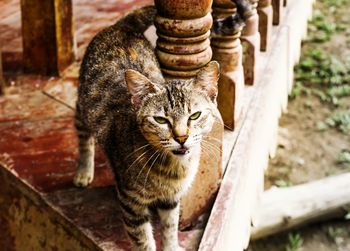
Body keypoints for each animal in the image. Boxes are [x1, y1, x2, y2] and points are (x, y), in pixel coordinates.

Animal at [73, 4, 242, 251]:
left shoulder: (171, 200)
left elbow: (170, 228)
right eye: (161, 120)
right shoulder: (131, 201)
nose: (181, 137)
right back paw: (84, 171)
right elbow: (143, 240)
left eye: (195, 115)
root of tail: (122, 26)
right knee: (83, 134)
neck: (172, 169)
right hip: (83, 104)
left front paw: (172, 245)